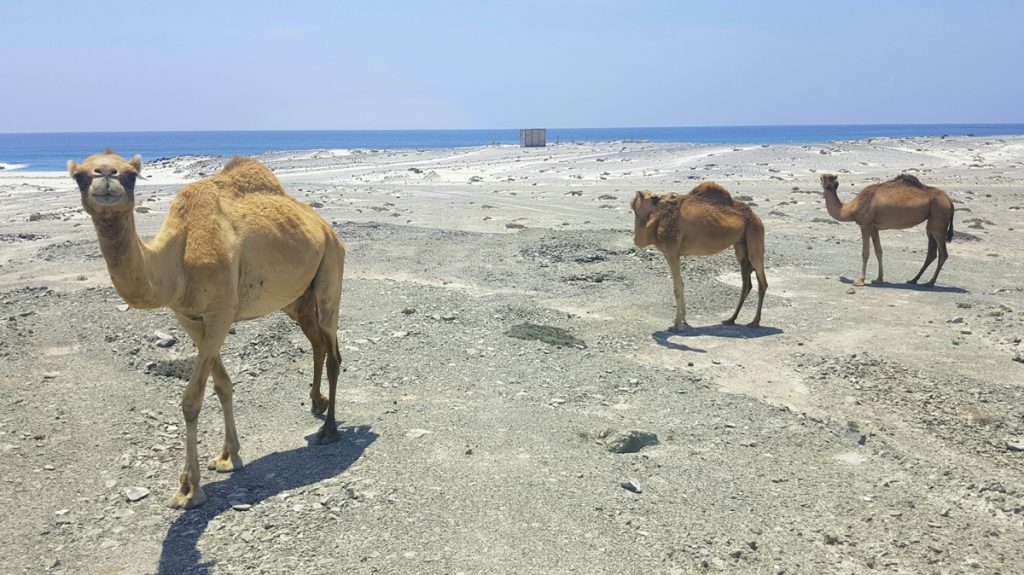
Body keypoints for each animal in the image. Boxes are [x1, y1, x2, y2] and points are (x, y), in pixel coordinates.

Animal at [70, 148, 348, 505]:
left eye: (131, 175)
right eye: (79, 176)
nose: (106, 176)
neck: (178, 257)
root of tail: (327, 228)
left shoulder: (220, 313)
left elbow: (192, 399)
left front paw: (189, 488)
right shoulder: (189, 317)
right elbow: (222, 385)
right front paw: (229, 457)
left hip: (331, 270)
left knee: (333, 350)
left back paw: (329, 430)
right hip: (298, 299)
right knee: (317, 344)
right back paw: (317, 403)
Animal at [630, 181, 770, 329]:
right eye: (654, 197)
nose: (674, 198)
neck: (655, 224)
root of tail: (756, 216)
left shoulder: (671, 251)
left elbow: (677, 287)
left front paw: (677, 324)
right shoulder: (673, 254)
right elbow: (681, 283)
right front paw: (683, 320)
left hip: (755, 233)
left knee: (762, 281)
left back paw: (754, 322)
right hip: (741, 247)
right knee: (746, 284)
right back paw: (730, 319)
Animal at [819, 170, 954, 284]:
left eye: (827, 178)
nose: (822, 175)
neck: (851, 208)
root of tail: (950, 201)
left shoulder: (865, 224)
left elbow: (865, 252)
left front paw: (860, 280)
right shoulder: (874, 227)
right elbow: (879, 251)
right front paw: (879, 278)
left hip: (939, 217)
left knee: (943, 253)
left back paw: (930, 282)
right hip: (932, 222)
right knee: (932, 253)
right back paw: (913, 280)